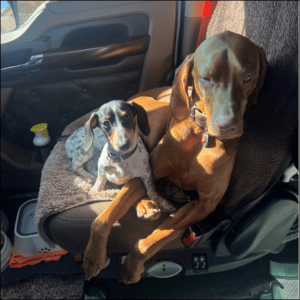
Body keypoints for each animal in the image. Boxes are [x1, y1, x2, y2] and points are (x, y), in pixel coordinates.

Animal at [82, 30, 268, 284]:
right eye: (206, 79)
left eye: (248, 77)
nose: (227, 126)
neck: (200, 136)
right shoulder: (150, 170)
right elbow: (103, 218)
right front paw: (93, 256)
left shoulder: (203, 205)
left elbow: (156, 238)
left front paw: (132, 264)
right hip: (157, 116)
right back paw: (148, 204)